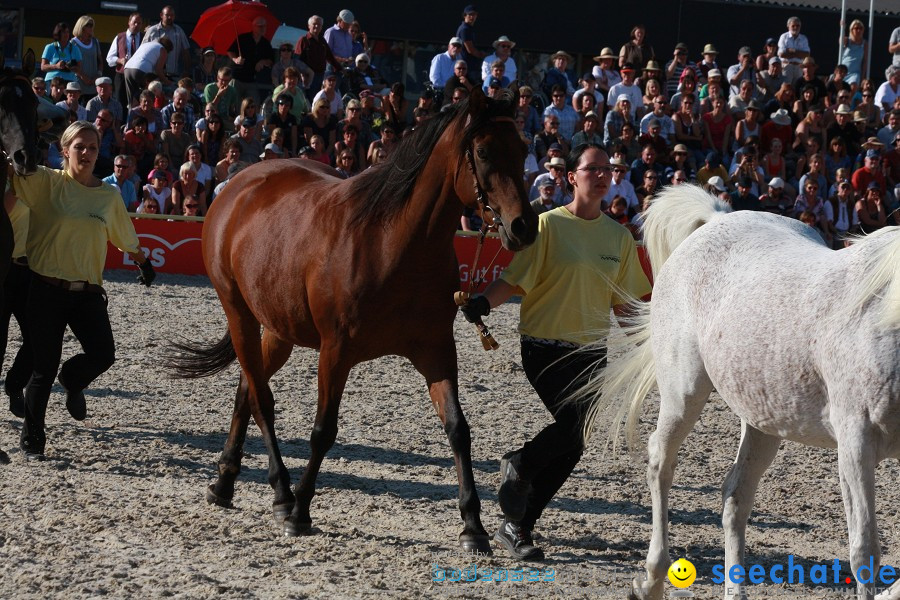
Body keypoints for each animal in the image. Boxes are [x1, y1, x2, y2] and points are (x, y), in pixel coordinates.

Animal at [172, 86, 536, 552]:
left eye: (522, 149)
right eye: (485, 151)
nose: (523, 226)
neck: (393, 244)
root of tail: (237, 186)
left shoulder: (436, 350)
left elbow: (458, 429)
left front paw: (473, 525)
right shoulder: (336, 351)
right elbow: (323, 431)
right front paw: (301, 512)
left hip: (278, 329)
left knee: (246, 390)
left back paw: (224, 483)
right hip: (240, 315)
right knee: (262, 401)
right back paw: (282, 493)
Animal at [576, 185, 900, 596]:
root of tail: (716, 219)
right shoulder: (856, 444)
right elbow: (864, 552)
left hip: (764, 421)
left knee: (735, 496)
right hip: (684, 395)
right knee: (661, 464)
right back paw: (651, 579)